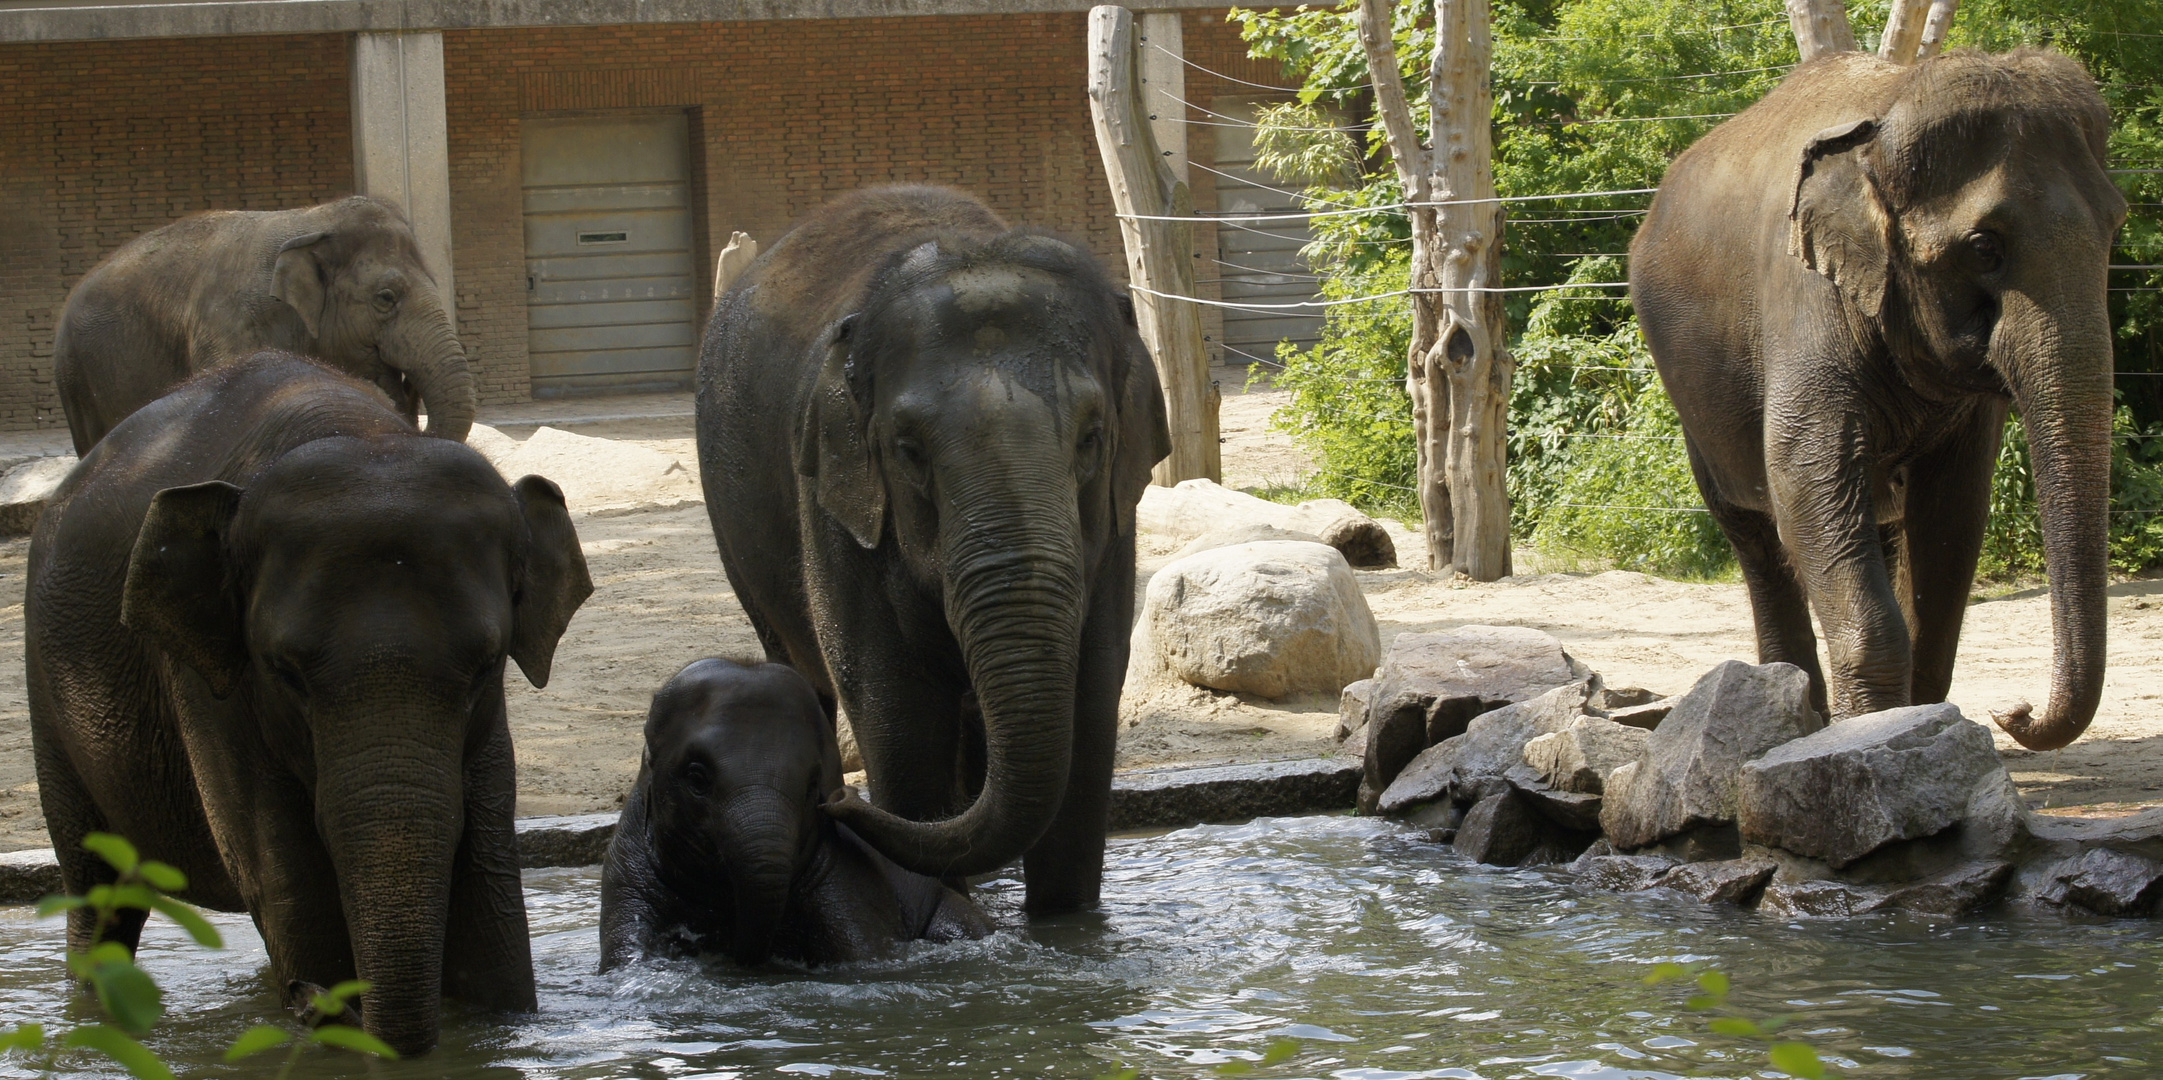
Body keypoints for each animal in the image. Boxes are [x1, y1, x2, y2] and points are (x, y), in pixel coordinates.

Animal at [27, 352, 601, 1056]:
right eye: (285, 672)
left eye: (486, 665)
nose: (309, 1001)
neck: (359, 430)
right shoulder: (207, 686)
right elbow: (288, 873)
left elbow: (489, 894)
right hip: (47, 693)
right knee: (96, 887)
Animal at [1626, 50, 2119, 753]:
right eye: (1984, 248)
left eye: (2115, 228)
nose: (2014, 711)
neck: (1888, 114)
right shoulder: (1805, 297)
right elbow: (1804, 478)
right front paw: (1870, 732)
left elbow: (1953, 510)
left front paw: (1911, 728)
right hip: (1691, 390)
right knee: (1754, 532)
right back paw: (1787, 714)